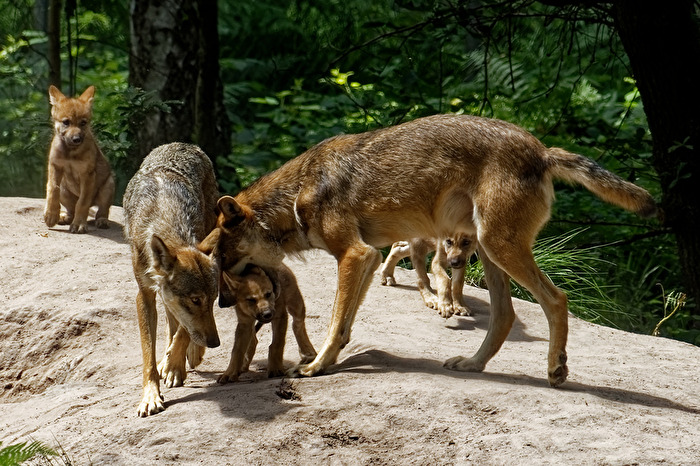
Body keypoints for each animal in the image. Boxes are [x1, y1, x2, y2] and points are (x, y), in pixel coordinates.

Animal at [44, 85, 115, 233]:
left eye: (83, 123)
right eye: (66, 122)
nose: (76, 139)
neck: (70, 153)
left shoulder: (87, 175)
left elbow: (82, 203)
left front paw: (79, 224)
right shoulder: (55, 166)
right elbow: (53, 189)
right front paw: (51, 214)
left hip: (108, 187)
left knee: (102, 211)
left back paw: (102, 221)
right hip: (65, 190)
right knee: (71, 210)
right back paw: (63, 217)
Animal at [123, 143, 221, 416]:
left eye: (213, 300)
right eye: (196, 300)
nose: (215, 343)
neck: (164, 215)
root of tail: (184, 144)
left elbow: (184, 331)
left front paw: (176, 364)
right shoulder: (144, 295)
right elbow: (148, 353)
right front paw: (150, 396)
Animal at [206, 114, 658, 387]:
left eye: (221, 256)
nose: (223, 303)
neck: (297, 193)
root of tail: (543, 150)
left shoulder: (353, 255)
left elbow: (334, 323)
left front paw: (316, 366)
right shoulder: (370, 257)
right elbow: (346, 324)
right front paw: (329, 362)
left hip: (496, 247)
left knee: (556, 299)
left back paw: (556, 368)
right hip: (488, 251)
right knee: (506, 315)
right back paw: (473, 365)